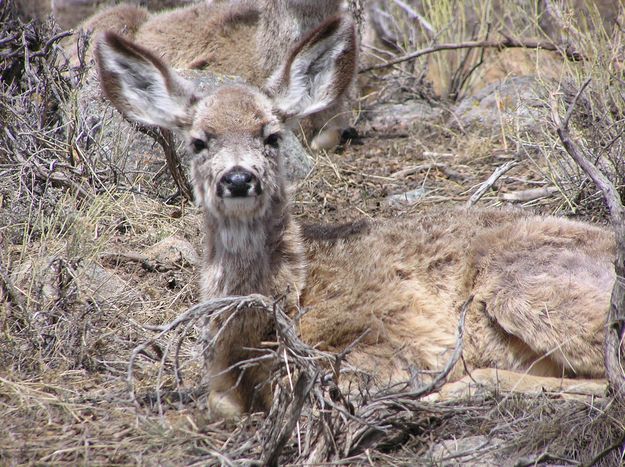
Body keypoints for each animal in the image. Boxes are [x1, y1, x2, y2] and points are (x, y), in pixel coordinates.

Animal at [95, 18, 612, 420]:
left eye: (272, 135)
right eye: (199, 141)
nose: (238, 178)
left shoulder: (391, 341)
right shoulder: (220, 382)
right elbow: (219, 405)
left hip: (522, 286)